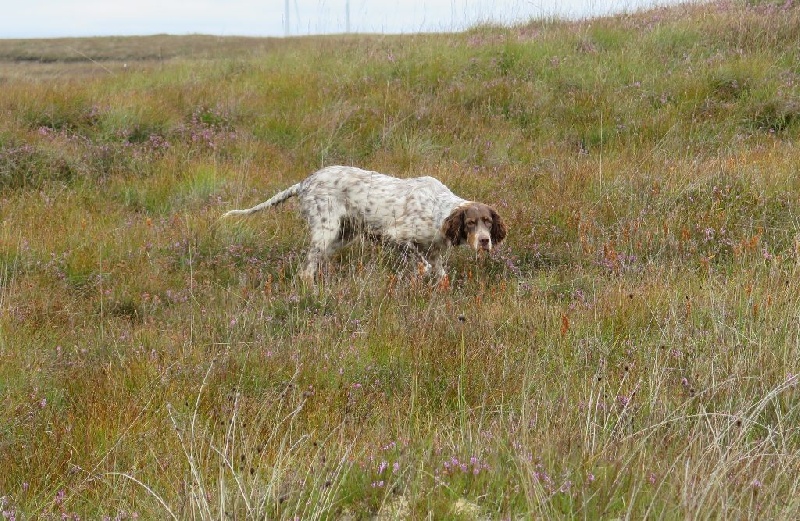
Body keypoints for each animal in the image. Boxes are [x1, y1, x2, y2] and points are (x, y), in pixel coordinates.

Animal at [222, 165, 506, 282]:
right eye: (470, 223)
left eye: (487, 222)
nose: (485, 241)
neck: (439, 209)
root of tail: (304, 182)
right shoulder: (396, 238)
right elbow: (422, 267)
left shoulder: (434, 253)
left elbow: (440, 274)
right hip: (326, 229)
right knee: (306, 270)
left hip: (341, 235)